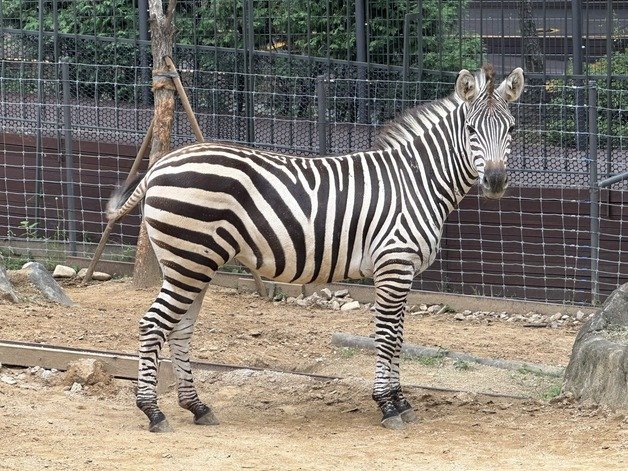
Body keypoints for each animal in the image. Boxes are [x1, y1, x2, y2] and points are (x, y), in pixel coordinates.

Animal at [108, 64, 524, 434]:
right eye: (470, 129)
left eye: (511, 128)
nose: (496, 180)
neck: (416, 182)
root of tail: (160, 164)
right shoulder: (393, 265)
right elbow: (388, 336)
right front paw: (388, 405)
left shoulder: (402, 271)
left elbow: (400, 336)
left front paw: (401, 401)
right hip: (190, 260)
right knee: (153, 324)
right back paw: (153, 411)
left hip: (190, 263)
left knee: (179, 328)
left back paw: (196, 407)